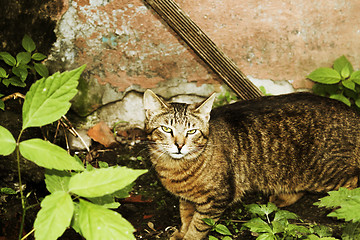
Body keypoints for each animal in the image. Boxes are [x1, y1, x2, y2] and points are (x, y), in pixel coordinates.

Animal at [143, 90, 360, 240]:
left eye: (192, 131)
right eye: (166, 129)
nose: (179, 145)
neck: (175, 168)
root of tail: (354, 114)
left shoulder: (216, 199)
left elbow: (198, 226)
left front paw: (188, 236)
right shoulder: (187, 199)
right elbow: (186, 216)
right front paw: (181, 232)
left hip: (326, 175)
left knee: (352, 184)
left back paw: (341, 205)